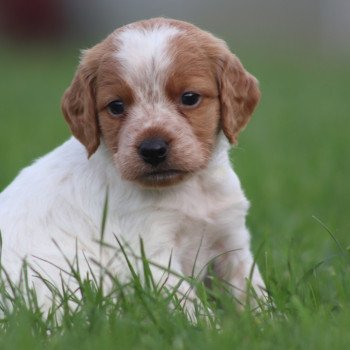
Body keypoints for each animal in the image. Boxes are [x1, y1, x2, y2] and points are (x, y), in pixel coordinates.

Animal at [0, 17, 266, 316]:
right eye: (116, 106)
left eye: (189, 97)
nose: (153, 149)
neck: (189, 189)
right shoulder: (152, 255)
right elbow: (190, 307)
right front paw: (212, 325)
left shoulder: (231, 238)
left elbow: (251, 288)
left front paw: (266, 319)